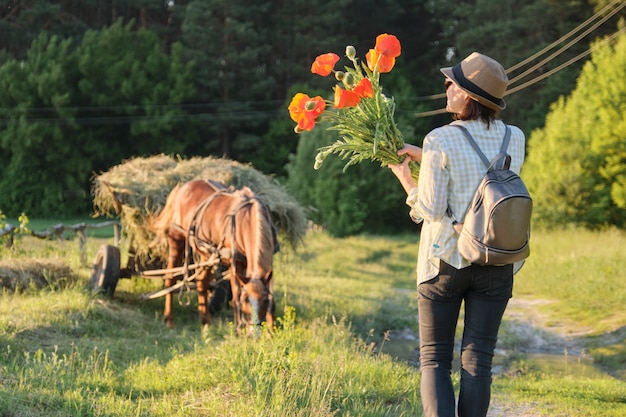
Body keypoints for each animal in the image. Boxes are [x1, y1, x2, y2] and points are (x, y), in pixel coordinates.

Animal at [149, 177, 276, 334]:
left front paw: (273, 331)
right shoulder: (235, 262)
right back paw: (169, 319)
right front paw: (238, 330)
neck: (246, 219)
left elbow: (272, 296)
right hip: (176, 240)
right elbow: (235, 295)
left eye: (264, 300)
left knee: (201, 282)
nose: (254, 333)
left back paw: (205, 321)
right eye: (245, 300)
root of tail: (183, 187)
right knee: (170, 278)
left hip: (205, 252)